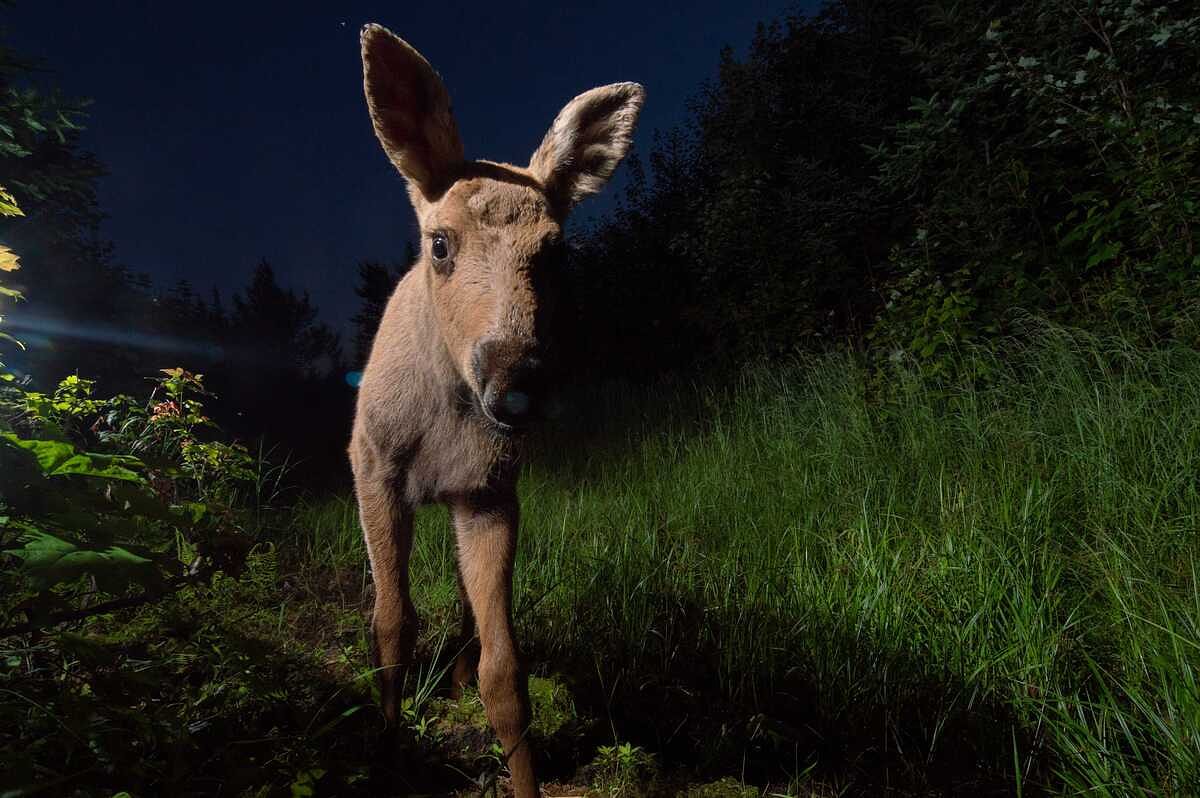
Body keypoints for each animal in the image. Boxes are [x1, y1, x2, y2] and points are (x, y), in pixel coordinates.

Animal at [349, 23, 644, 797]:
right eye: (439, 243)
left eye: (556, 252)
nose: (515, 381)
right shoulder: (373, 470)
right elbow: (390, 624)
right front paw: (388, 748)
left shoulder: (489, 494)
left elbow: (505, 672)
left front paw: (525, 782)